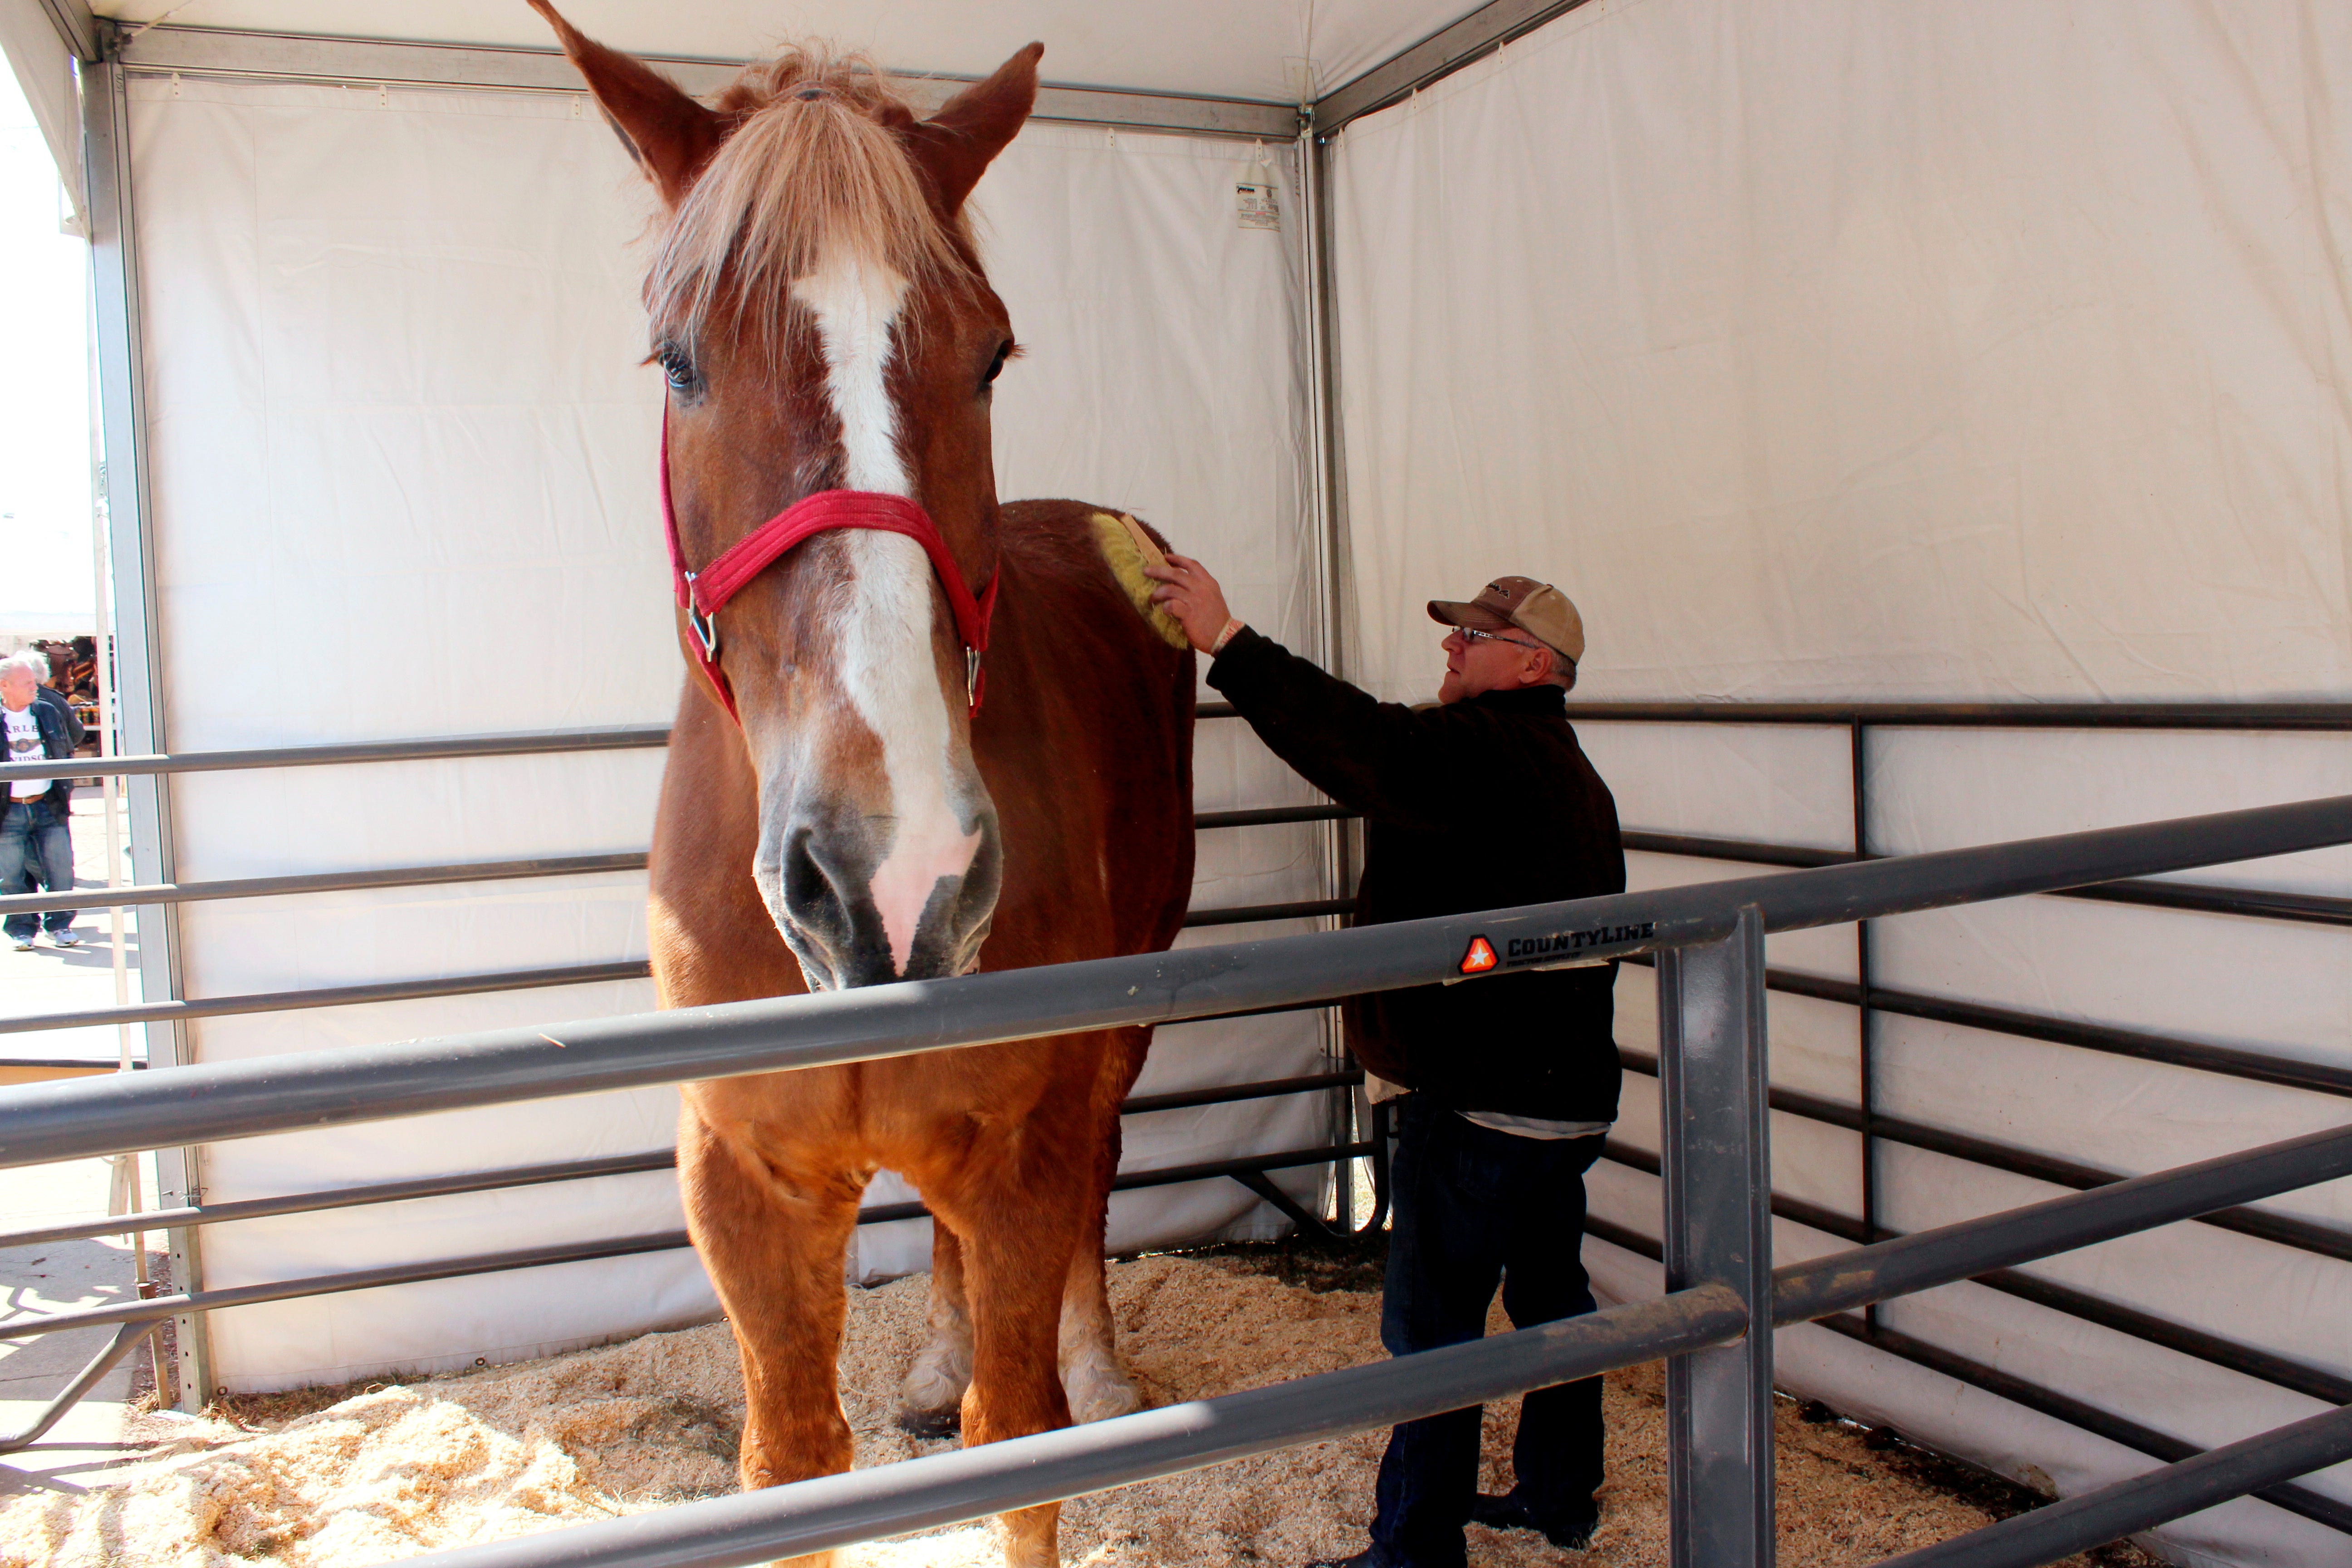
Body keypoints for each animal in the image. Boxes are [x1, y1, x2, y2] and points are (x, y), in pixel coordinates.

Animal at [534, 6, 1195, 1561]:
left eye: (993, 356)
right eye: (679, 362)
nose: (896, 878)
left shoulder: (1023, 1151)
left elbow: (1018, 1446)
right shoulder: (749, 1186)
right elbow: (793, 1463)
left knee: (1102, 1166)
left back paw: (1099, 1361)